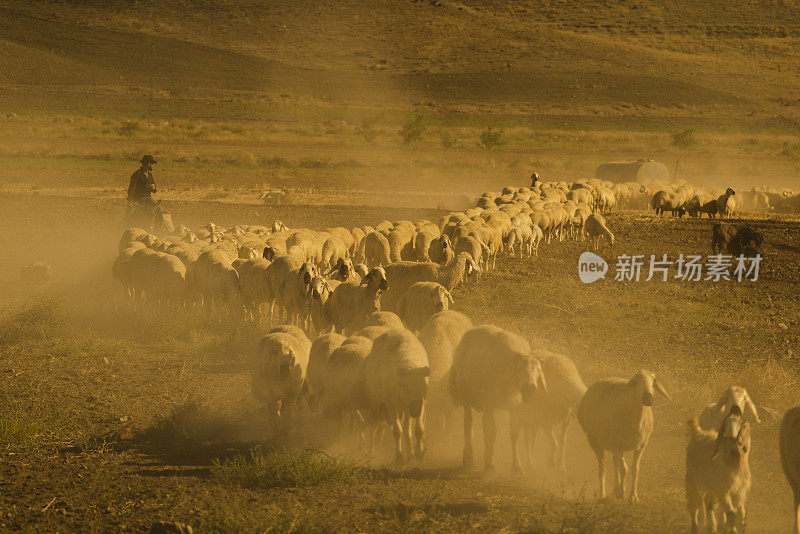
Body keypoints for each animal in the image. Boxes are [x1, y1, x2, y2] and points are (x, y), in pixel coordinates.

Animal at [450, 326, 544, 474]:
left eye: (538, 371)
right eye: (519, 369)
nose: (530, 388)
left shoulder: (515, 408)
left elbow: (514, 434)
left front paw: (517, 466)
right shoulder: (489, 406)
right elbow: (491, 432)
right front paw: (489, 465)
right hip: (465, 393)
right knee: (467, 423)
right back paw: (468, 456)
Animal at [576, 370, 668, 504]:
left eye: (653, 381)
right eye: (636, 382)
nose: (648, 398)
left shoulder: (641, 446)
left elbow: (635, 469)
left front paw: (633, 496)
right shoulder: (618, 446)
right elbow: (624, 469)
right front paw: (622, 492)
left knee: (615, 464)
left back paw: (615, 489)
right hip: (594, 441)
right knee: (603, 467)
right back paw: (603, 494)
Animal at [688, 406, 752, 534]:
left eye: (741, 423)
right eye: (726, 424)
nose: (735, 408)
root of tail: (699, 432)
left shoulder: (740, 491)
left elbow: (741, 512)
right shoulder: (723, 492)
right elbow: (732, 513)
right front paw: (732, 530)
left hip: (711, 488)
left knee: (709, 505)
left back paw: (712, 527)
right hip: (692, 482)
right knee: (694, 507)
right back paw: (696, 528)